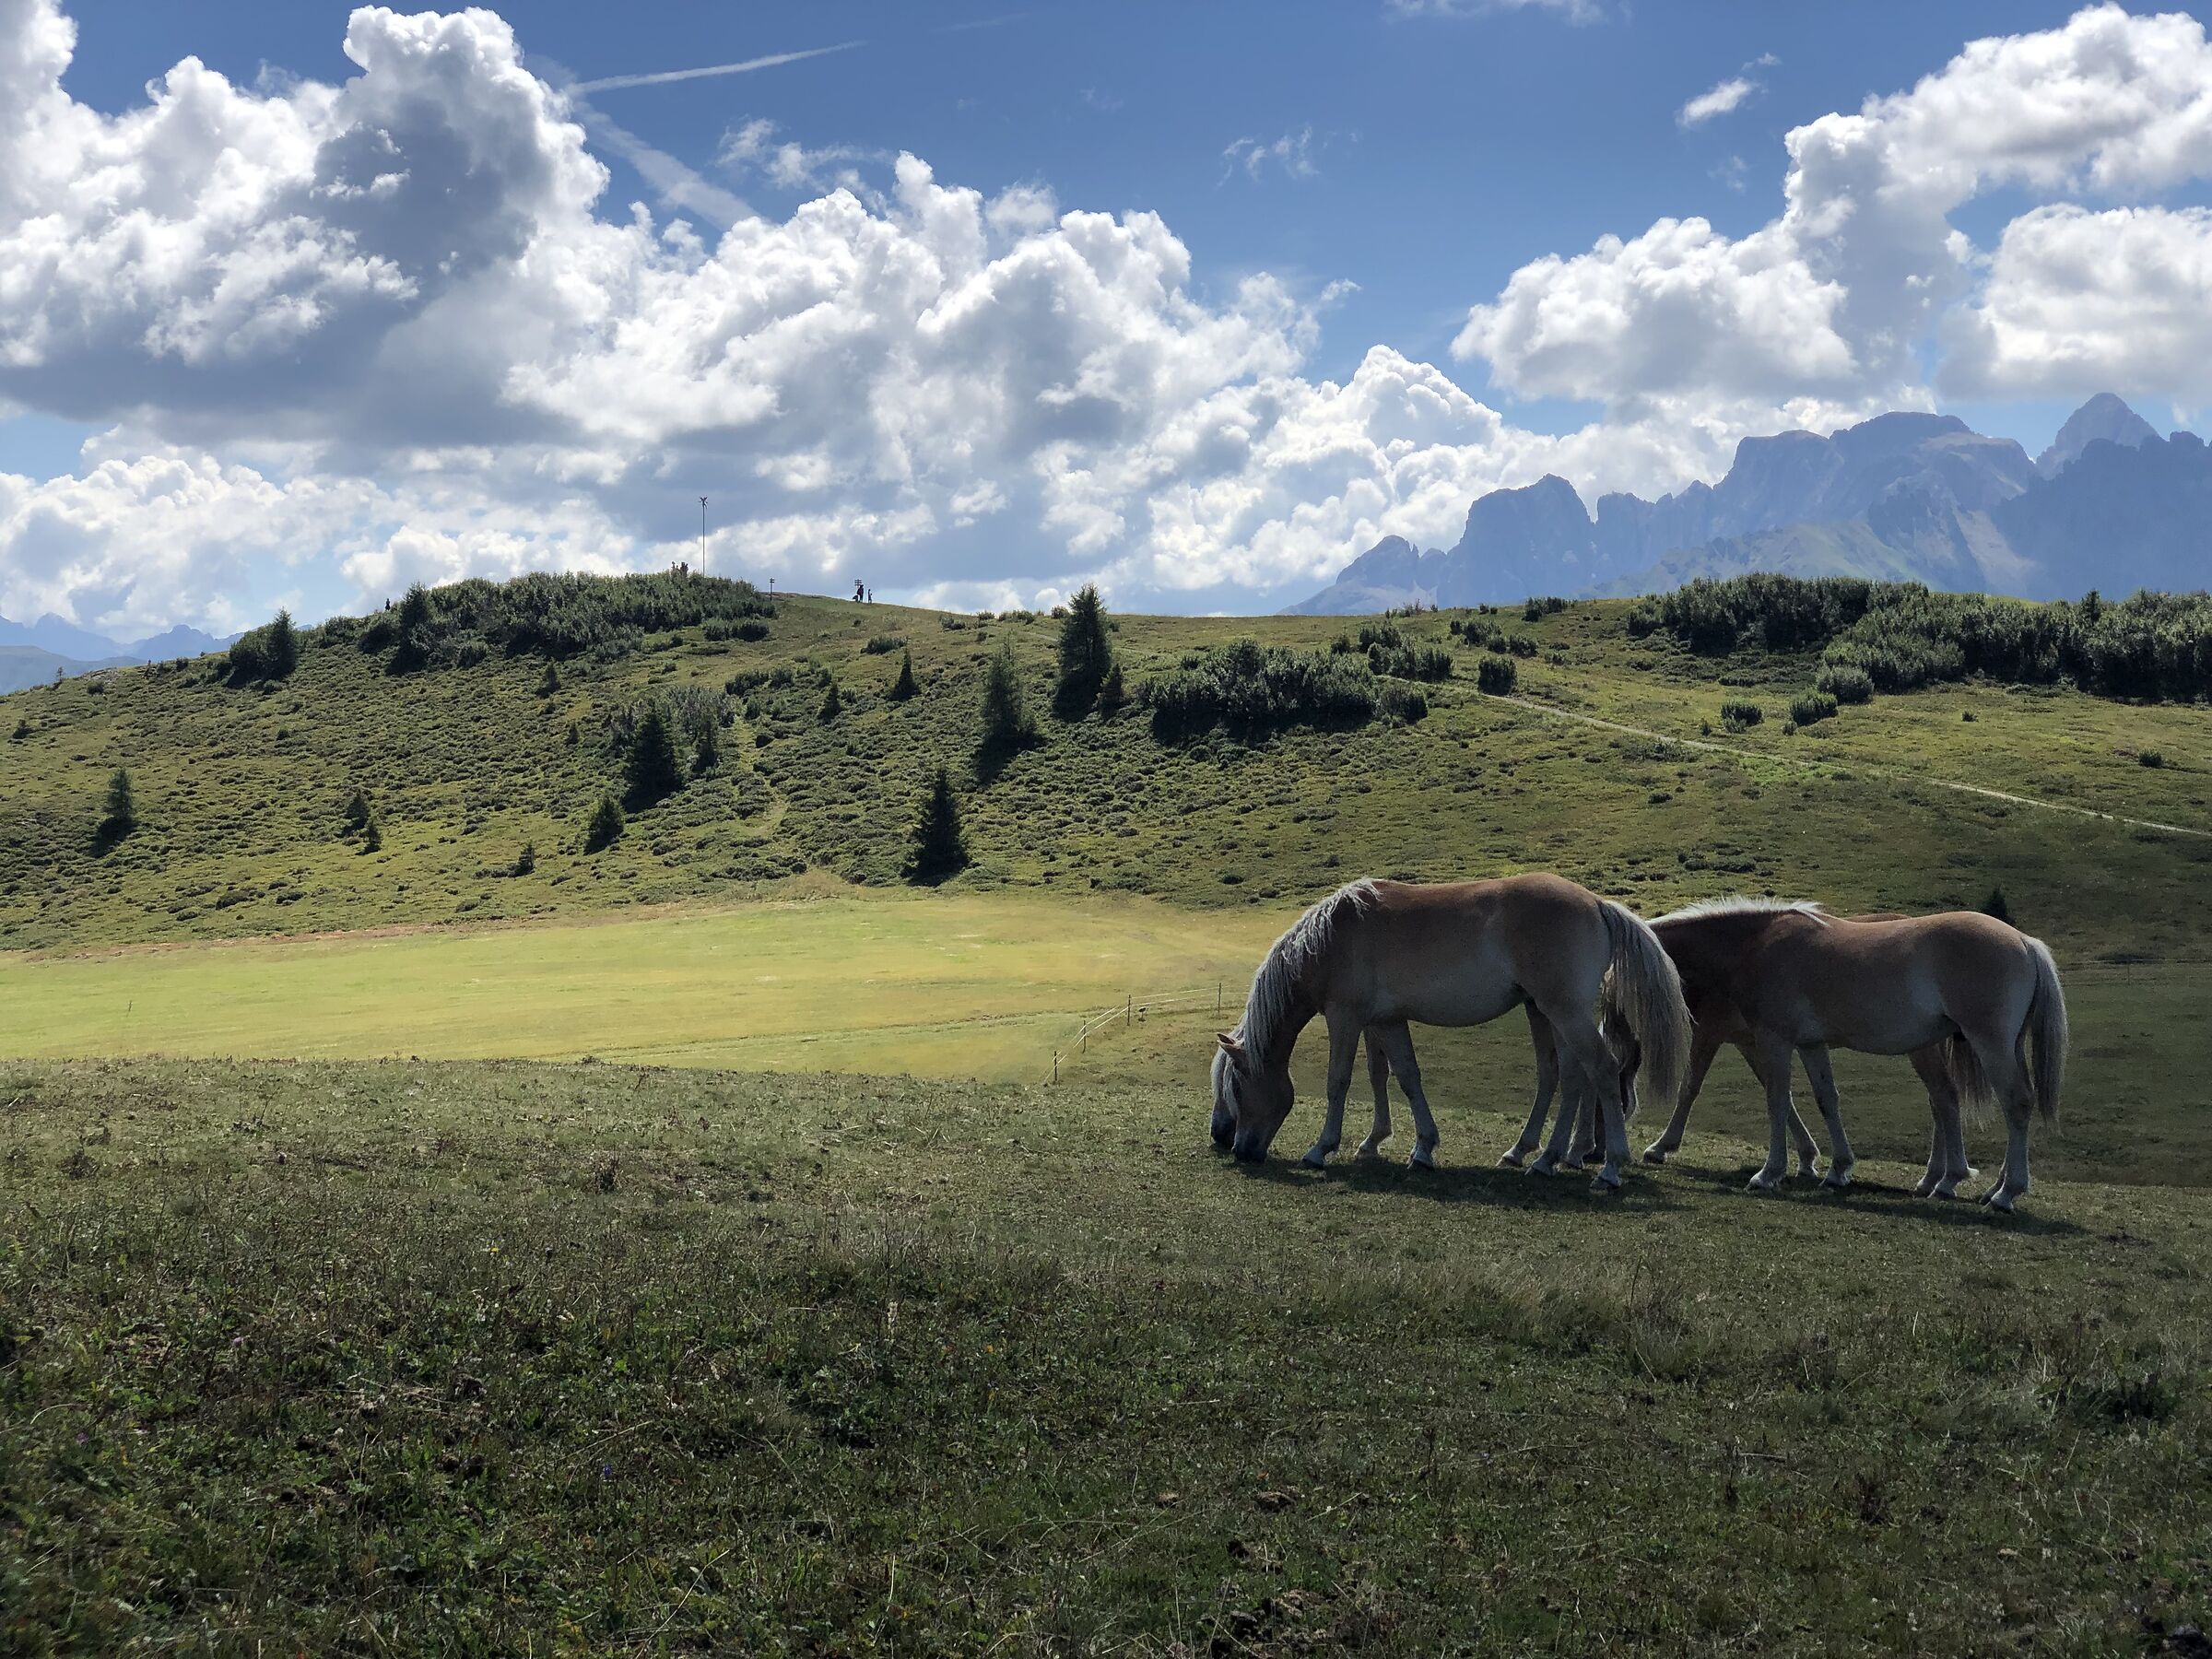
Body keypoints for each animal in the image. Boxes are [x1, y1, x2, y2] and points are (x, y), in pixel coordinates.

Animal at [1209, 875, 1690, 1191]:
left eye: (1237, 1085)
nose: (1229, 1144)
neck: (1329, 938)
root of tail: (1595, 903)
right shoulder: (1387, 1021)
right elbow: (1405, 1077)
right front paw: (1422, 1150)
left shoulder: (1345, 1017)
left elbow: (1338, 1082)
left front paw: (1320, 1149)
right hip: (1546, 1012)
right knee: (1566, 1076)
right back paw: (1539, 1158)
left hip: (1564, 1012)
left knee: (1602, 1071)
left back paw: (1609, 1168)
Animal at [1630, 900, 2066, 1210]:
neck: (1754, 945)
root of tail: (2025, 942)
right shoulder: (1809, 1044)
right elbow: (1826, 1100)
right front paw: (1836, 1169)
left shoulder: (1772, 1039)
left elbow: (1773, 1100)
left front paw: (1769, 1173)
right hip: (1991, 1046)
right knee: (1953, 1100)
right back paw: (1964, 1183)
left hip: (1989, 1043)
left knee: (2015, 1102)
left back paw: (2004, 1193)